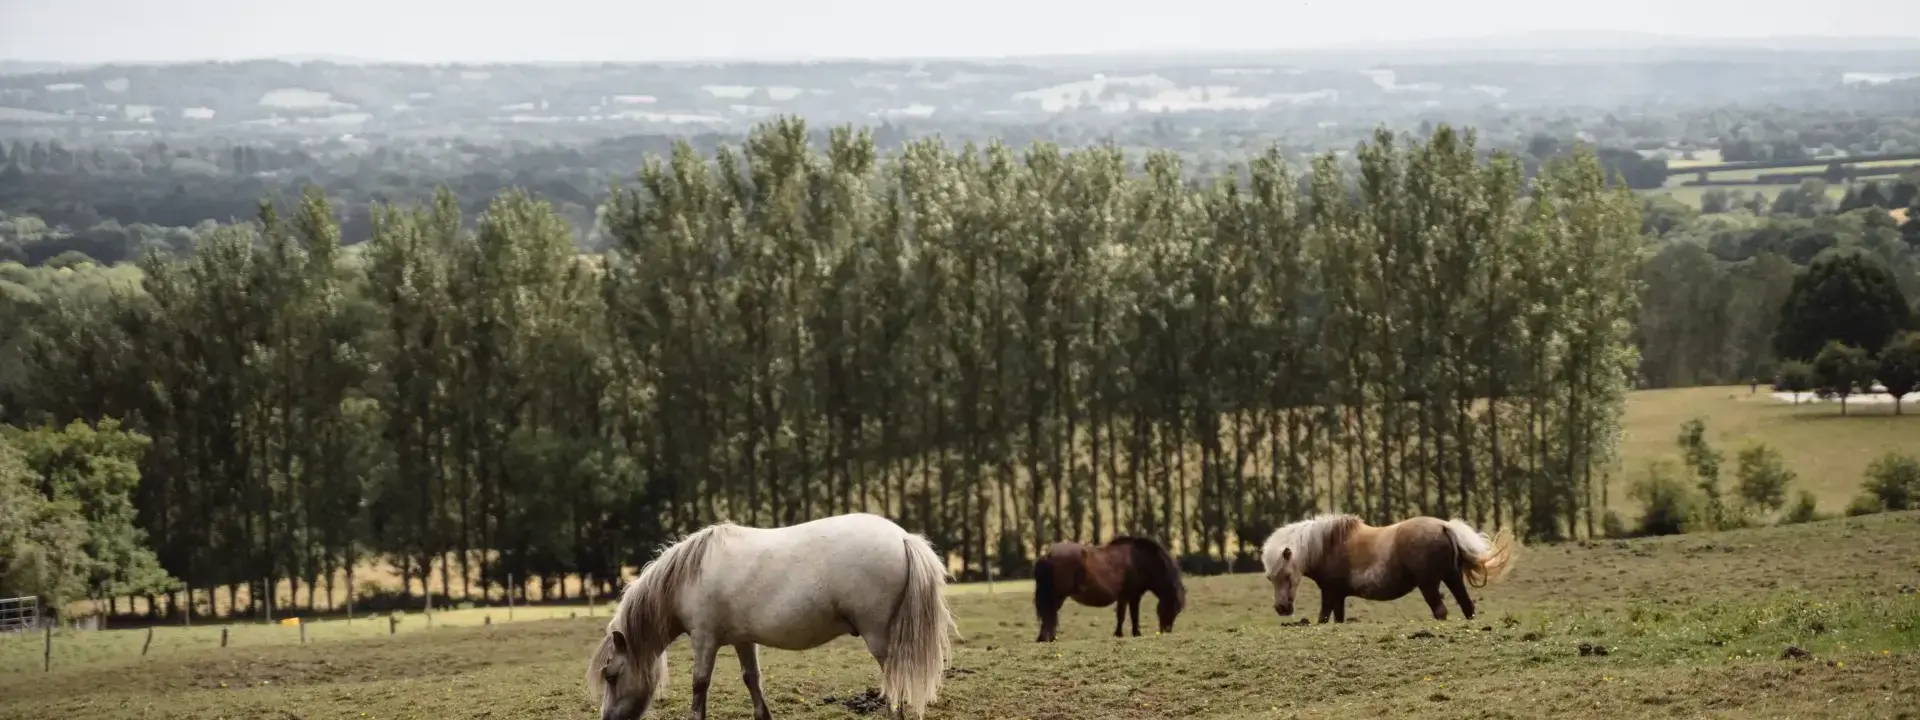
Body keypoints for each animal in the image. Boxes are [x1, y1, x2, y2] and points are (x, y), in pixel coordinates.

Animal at [576, 514, 952, 720]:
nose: (606, 719)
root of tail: (902, 537)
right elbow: (752, 680)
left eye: (611, 676)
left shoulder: (705, 638)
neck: (688, 577)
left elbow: (700, 684)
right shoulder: (743, 640)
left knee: (895, 681)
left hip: (878, 637)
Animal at [1036, 537, 1182, 641]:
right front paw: (1134, 633)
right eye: (1174, 608)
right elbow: (1132, 615)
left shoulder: (1124, 596)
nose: (1166, 630)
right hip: (1057, 595)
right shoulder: (1134, 596)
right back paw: (1048, 637)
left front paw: (1120, 633)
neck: (1139, 561)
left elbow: (1122, 615)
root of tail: (1048, 554)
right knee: (1049, 613)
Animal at [1259, 514, 1512, 625]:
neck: (1327, 545)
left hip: (1429, 585)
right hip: (1453, 578)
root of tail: (1444, 526)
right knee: (1467, 606)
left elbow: (1323, 618)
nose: (1281, 608)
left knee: (1441, 611)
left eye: (1287, 575)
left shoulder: (1329, 593)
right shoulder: (1339, 596)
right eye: (1269, 578)